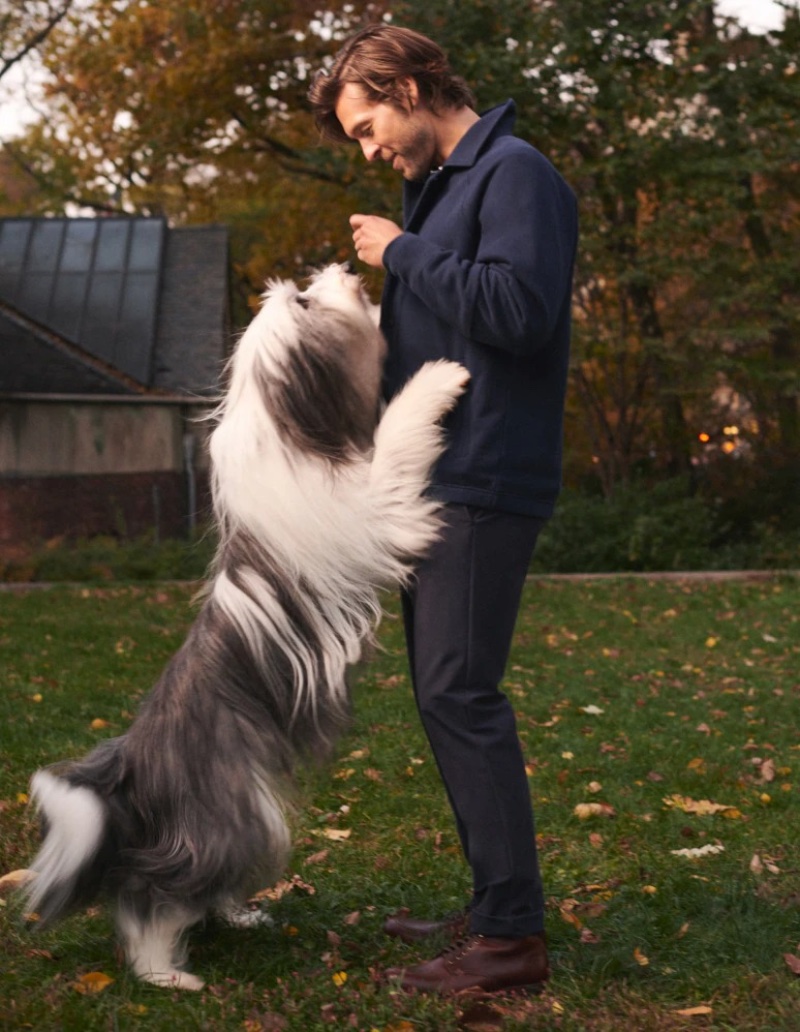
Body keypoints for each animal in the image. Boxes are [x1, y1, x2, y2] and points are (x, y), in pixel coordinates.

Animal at [23, 262, 468, 986]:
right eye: (309, 303)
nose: (343, 266)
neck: (285, 428)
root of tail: (133, 778)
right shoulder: (372, 508)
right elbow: (397, 438)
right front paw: (441, 376)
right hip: (231, 818)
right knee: (151, 897)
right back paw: (165, 972)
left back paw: (238, 917)